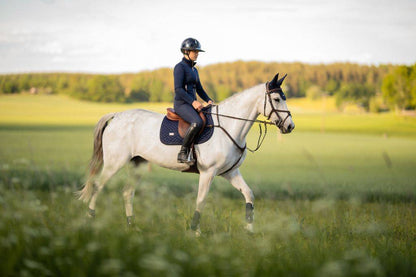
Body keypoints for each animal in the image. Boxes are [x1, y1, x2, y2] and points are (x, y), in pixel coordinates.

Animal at [76, 73, 294, 233]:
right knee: (97, 186)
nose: (290, 126)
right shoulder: (208, 172)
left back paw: (132, 226)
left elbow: (249, 195)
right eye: (276, 99)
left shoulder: (230, 172)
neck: (229, 126)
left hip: (138, 164)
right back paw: (90, 219)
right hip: (115, 163)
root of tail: (117, 115)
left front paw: (249, 231)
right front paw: (195, 231)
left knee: (127, 192)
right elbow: (201, 200)